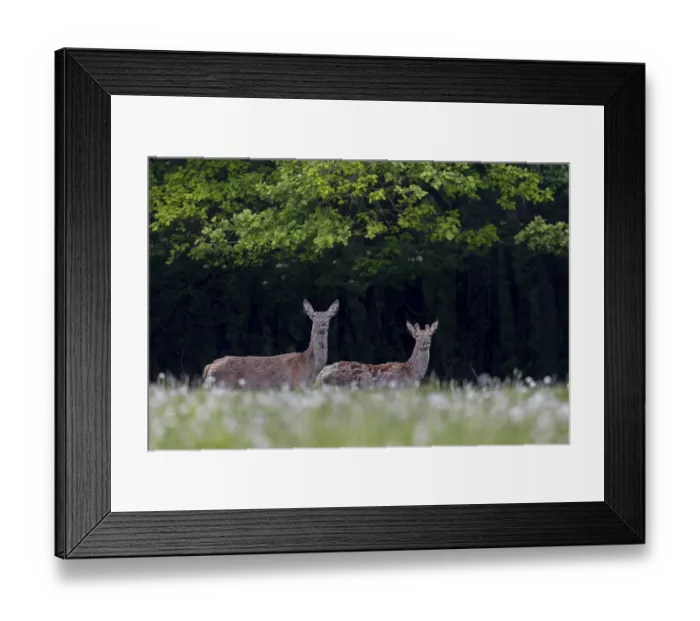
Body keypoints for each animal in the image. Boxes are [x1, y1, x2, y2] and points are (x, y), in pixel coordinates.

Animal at [202, 299, 340, 390]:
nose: (322, 324)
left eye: (329, 316)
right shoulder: (295, 385)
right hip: (223, 385)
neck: (311, 369)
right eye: (313, 316)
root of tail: (210, 367)